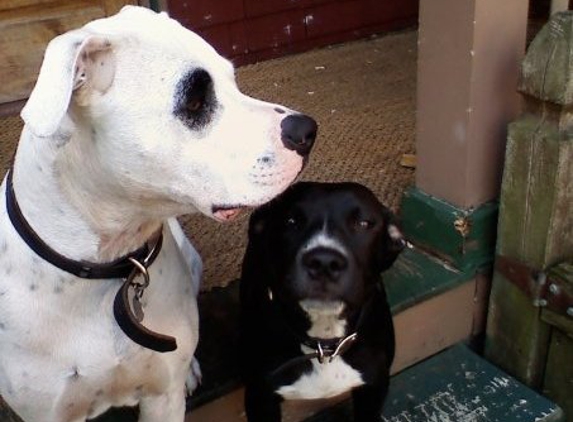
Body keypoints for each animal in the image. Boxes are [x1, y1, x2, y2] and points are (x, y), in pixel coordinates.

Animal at [239, 181, 404, 422]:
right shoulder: (260, 396)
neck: (324, 345)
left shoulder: (375, 386)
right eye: (291, 221)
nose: (324, 262)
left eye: (363, 223)